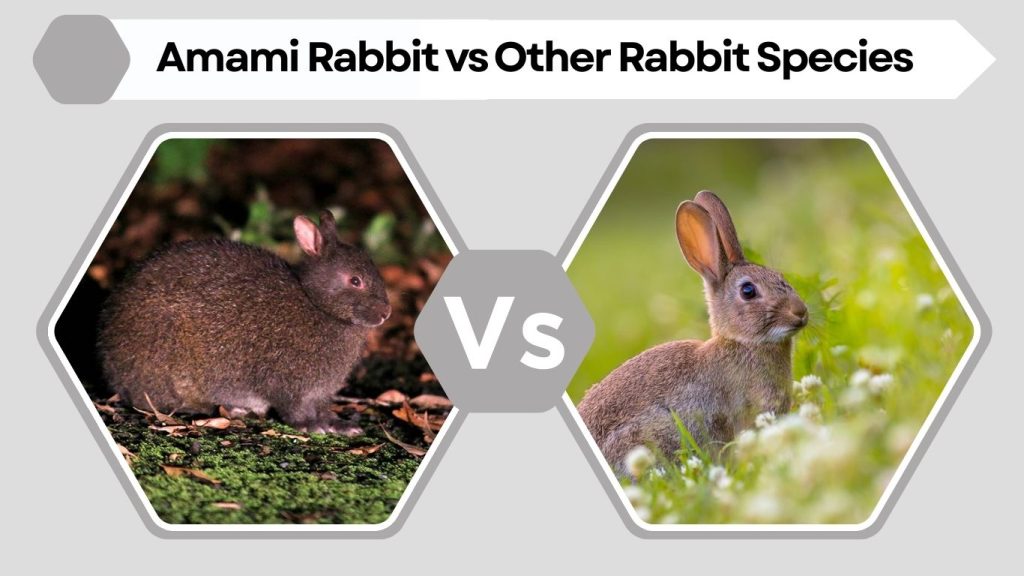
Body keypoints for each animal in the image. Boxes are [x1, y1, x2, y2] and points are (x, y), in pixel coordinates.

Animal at [97, 209, 392, 436]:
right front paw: (312, 427)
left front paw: (339, 425)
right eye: (355, 280)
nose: (387, 312)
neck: (317, 305)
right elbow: (294, 411)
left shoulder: (318, 393)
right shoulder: (288, 385)